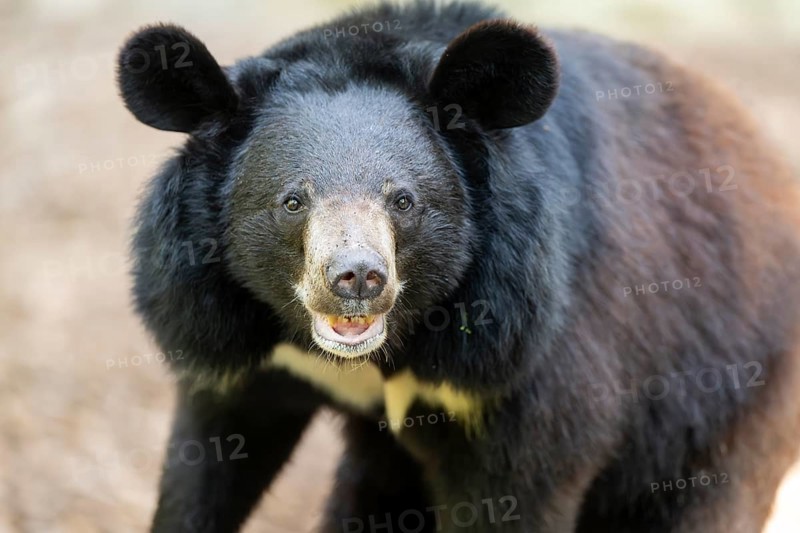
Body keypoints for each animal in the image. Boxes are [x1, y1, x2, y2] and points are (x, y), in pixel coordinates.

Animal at [116, 1, 800, 532]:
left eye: (403, 200)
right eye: (292, 200)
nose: (357, 278)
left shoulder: (520, 350)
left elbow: (525, 477)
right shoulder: (221, 332)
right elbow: (208, 466)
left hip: (730, 395)